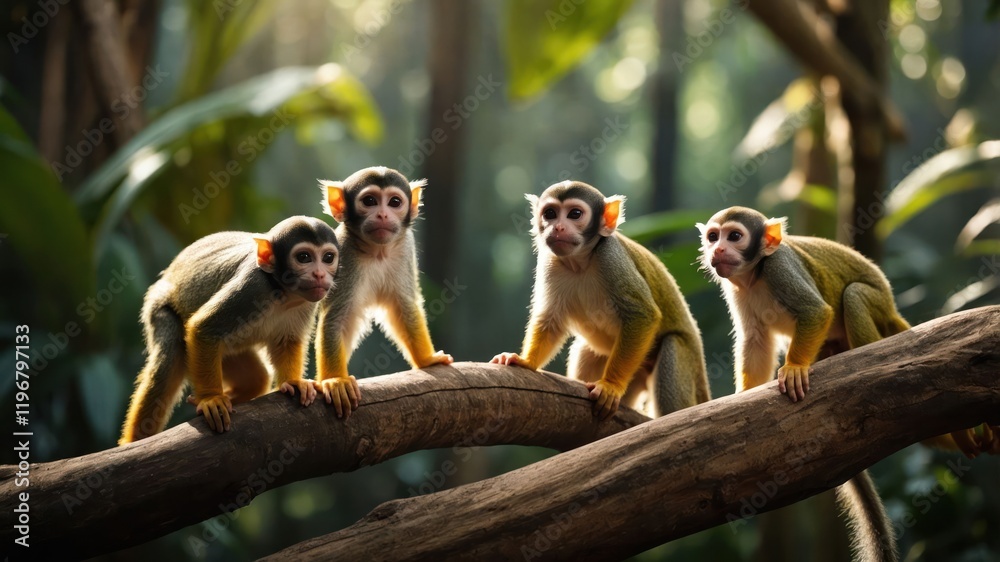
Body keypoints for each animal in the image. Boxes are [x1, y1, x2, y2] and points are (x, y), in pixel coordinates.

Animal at [119, 216, 340, 444]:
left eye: (328, 258)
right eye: (304, 257)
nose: (319, 274)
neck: (283, 293)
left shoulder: (307, 301)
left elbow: (287, 340)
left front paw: (293, 382)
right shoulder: (252, 287)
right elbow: (204, 328)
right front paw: (211, 399)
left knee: (256, 378)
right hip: (158, 307)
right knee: (169, 359)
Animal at [315, 166, 453, 419]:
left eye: (394, 202)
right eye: (369, 201)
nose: (382, 215)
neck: (377, 251)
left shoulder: (405, 246)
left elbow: (404, 305)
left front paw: (427, 360)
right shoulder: (341, 254)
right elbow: (335, 318)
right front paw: (336, 380)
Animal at [491, 180, 710, 420]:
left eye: (575, 214)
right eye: (550, 214)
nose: (557, 227)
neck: (580, 261)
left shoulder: (610, 256)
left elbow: (642, 314)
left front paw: (610, 385)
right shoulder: (550, 262)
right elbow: (550, 319)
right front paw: (526, 362)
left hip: (688, 362)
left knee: (672, 347)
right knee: (586, 350)